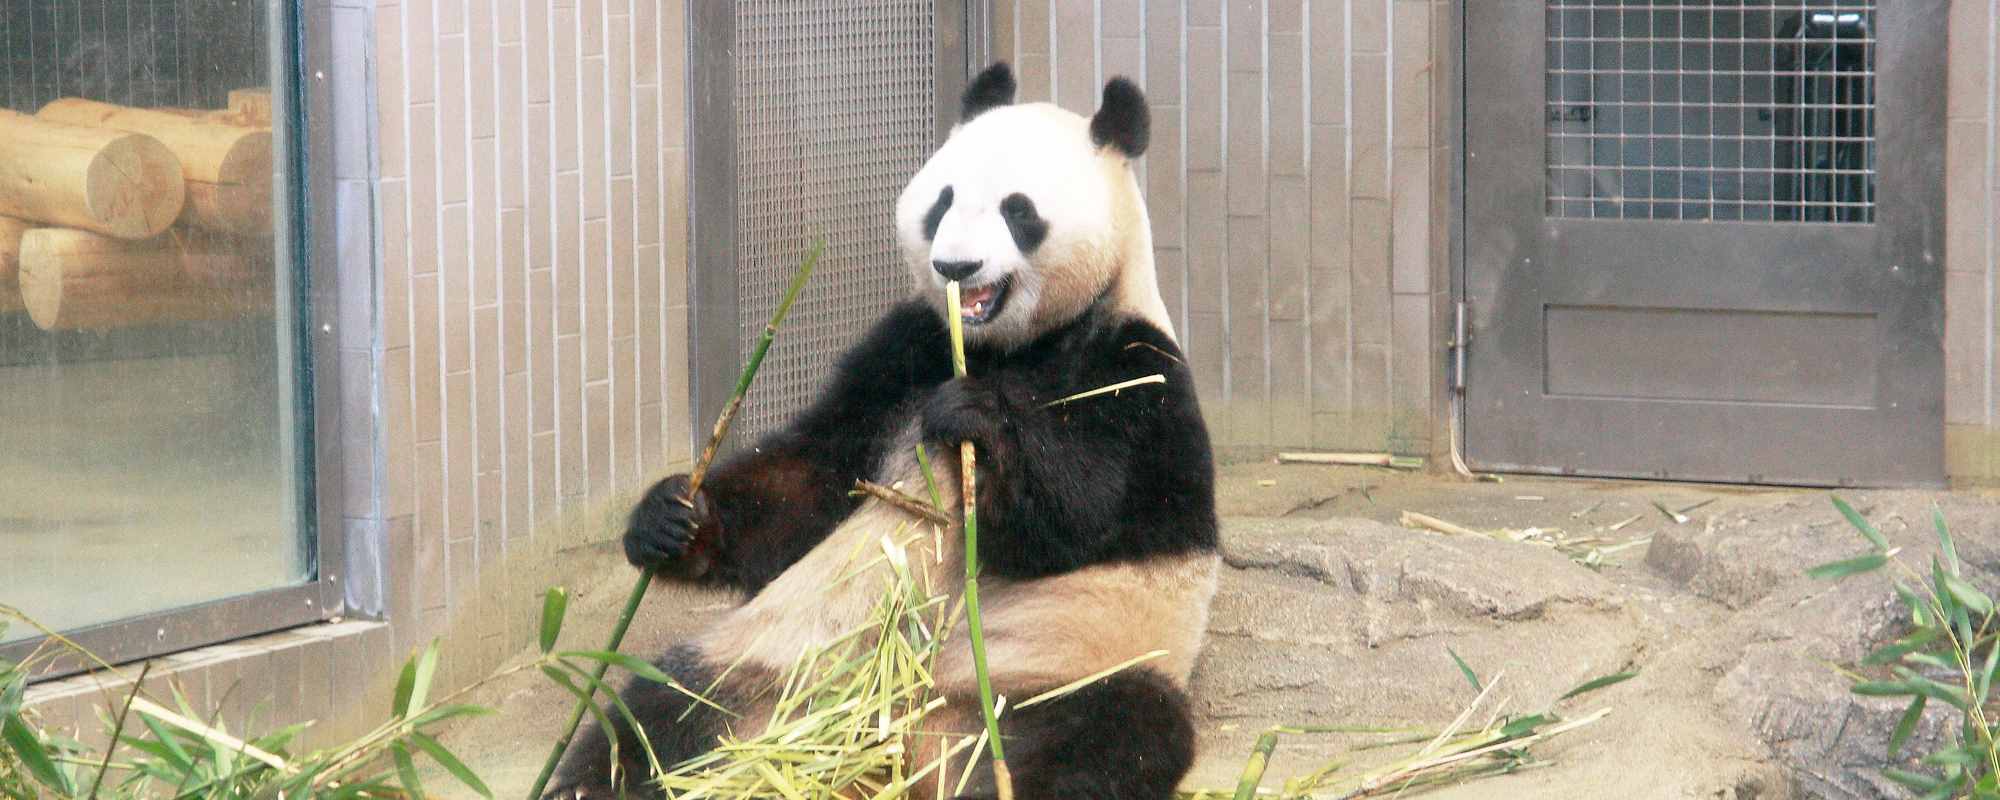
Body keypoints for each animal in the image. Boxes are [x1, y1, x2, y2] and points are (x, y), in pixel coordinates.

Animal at [556, 64, 1224, 800]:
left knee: (1108, 734)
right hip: (773, 669)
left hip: (1053, 667)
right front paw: (675, 516)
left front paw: (979, 420)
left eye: (1018, 210)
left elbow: (1088, 512)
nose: (956, 267)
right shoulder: (903, 352)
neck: (1001, 348)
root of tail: (902, 744)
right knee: (657, 719)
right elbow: (810, 481)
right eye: (943, 200)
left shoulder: (1137, 370)